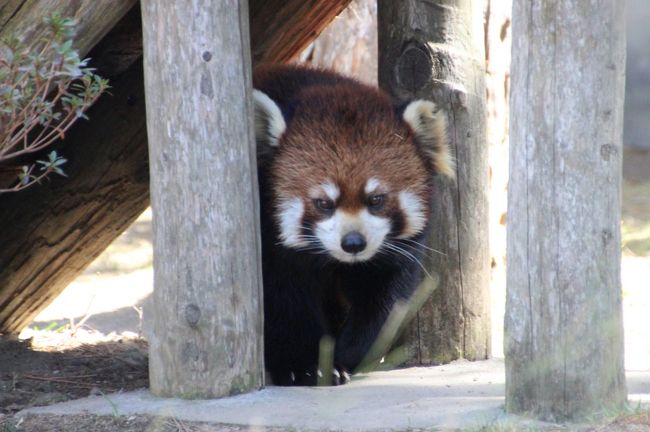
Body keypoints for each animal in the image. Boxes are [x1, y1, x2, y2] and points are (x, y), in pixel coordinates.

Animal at [251, 63, 454, 384]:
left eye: (376, 199)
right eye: (323, 203)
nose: (354, 243)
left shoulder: (390, 256)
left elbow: (382, 303)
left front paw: (345, 356)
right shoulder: (272, 252)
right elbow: (283, 305)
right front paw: (303, 366)